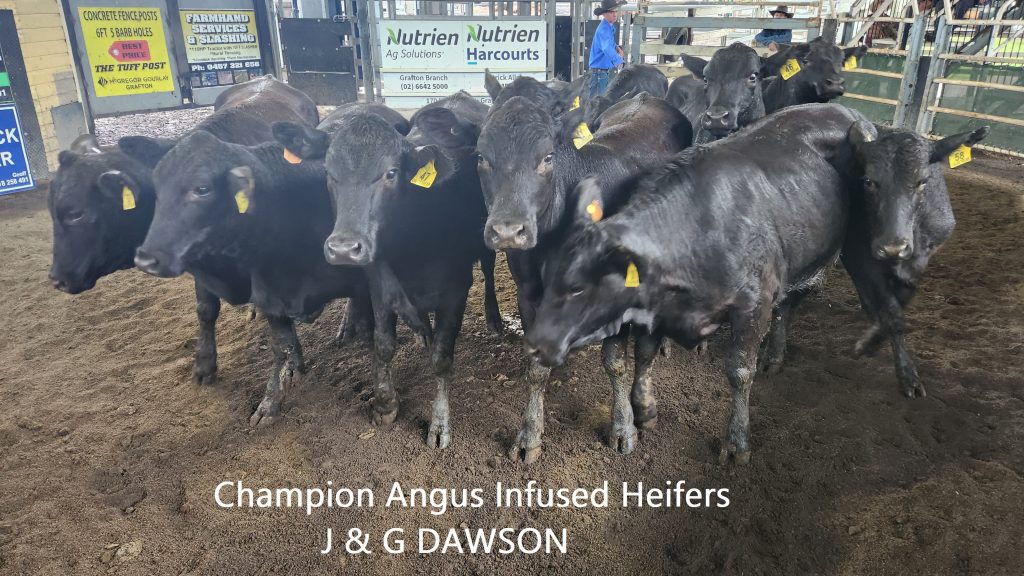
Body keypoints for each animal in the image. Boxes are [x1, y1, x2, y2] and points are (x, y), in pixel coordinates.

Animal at [271, 92, 500, 448]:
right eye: (328, 173)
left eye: (391, 173)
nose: (344, 247)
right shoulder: (379, 287)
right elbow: (383, 345)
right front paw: (385, 405)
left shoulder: (456, 290)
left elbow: (442, 358)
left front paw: (440, 423)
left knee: (488, 272)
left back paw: (493, 319)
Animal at [477, 80, 692, 463]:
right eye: (481, 156)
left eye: (547, 156)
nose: (507, 231)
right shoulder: (527, 294)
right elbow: (536, 369)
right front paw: (529, 435)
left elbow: (616, 362)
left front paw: (623, 426)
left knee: (646, 349)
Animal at [523, 104, 869, 464]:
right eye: (546, 279)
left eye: (578, 287)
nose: (535, 344)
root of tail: (843, 108)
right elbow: (645, 353)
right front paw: (643, 409)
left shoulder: (754, 303)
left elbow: (739, 371)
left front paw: (737, 442)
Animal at [843, 122, 989, 398]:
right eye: (868, 181)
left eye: (923, 181)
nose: (893, 247)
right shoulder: (859, 252)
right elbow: (893, 314)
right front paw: (904, 372)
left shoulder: (922, 257)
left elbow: (904, 297)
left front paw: (874, 335)